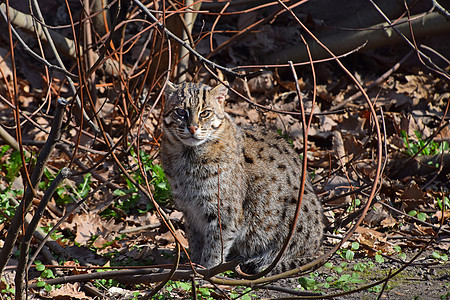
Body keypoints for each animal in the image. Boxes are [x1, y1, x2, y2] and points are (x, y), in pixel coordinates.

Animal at [160, 82, 322, 274]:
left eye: (205, 113)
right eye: (180, 112)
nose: (192, 128)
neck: (187, 156)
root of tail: (318, 246)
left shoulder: (224, 213)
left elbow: (215, 246)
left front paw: (206, 271)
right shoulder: (190, 211)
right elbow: (195, 242)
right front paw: (194, 265)